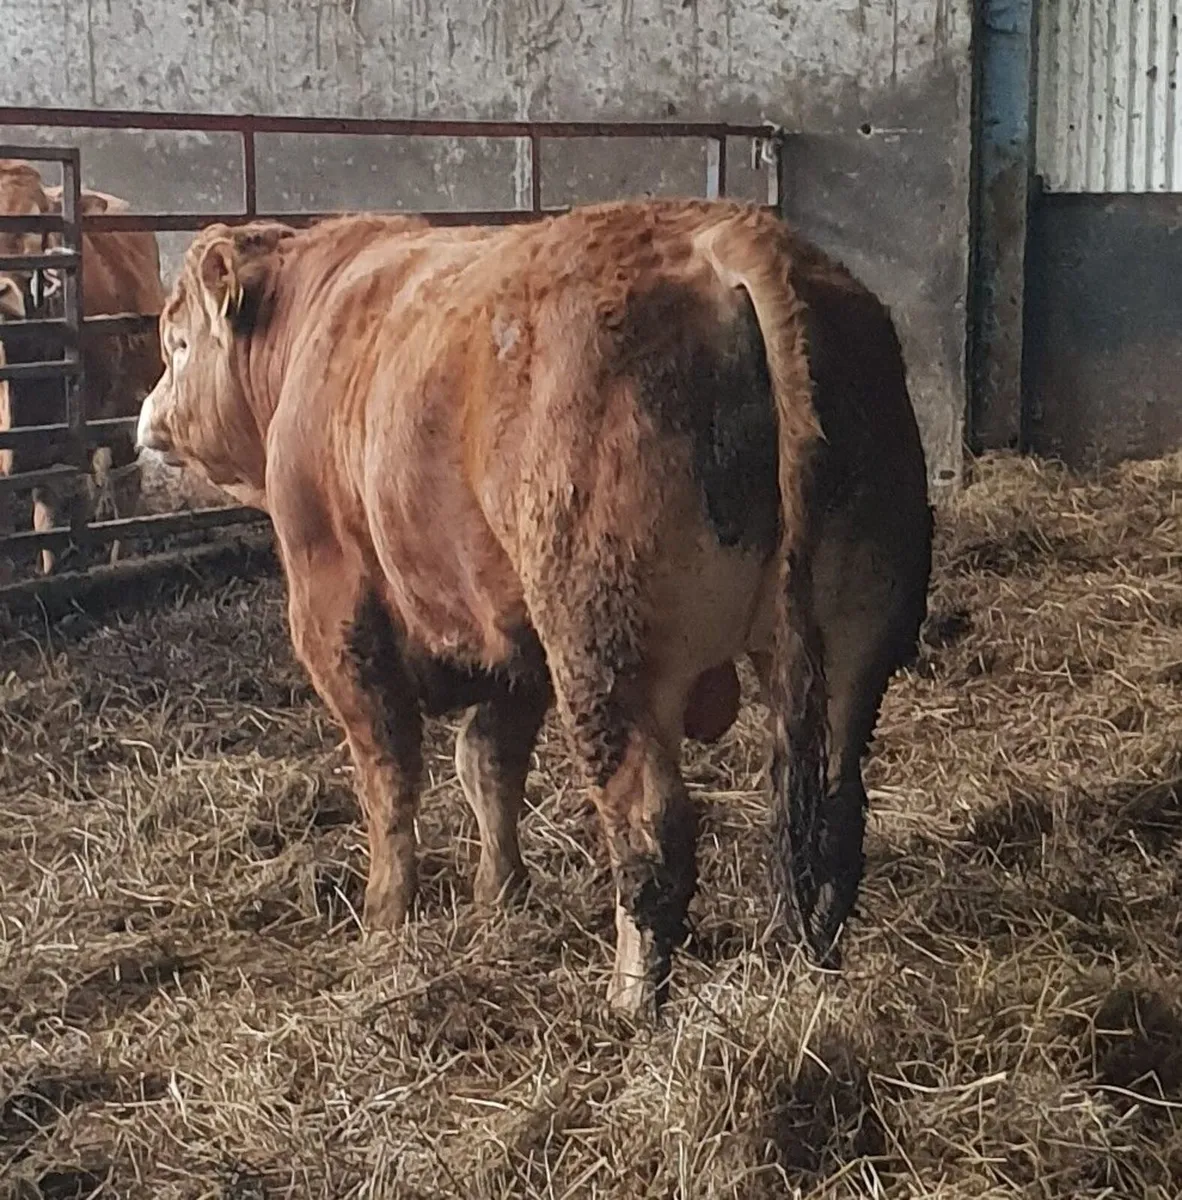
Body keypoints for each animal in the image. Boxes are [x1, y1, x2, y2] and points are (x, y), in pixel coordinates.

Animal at [136, 199, 933, 1018]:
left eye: (178, 342)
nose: (148, 414)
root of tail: (732, 239)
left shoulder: (338, 615)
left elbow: (390, 772)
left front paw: (387, 913)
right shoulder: (509, 638)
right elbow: (489, 763)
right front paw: (501, 895)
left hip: (606, 651)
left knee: (650, 826)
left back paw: (631, 999)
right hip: (845, 646)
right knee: (827, 811)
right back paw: (802, 958)